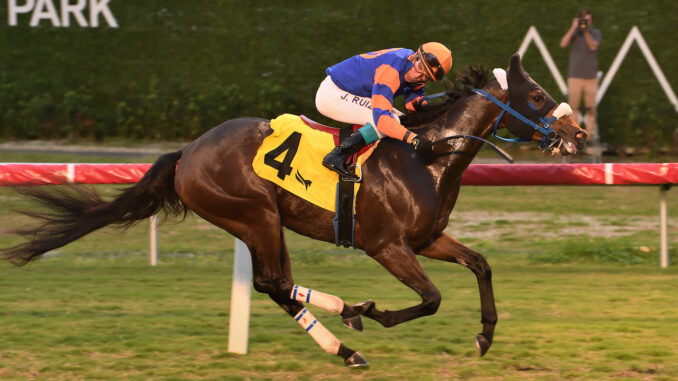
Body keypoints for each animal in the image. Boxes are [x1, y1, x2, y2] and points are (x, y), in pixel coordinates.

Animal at [0, 53, 588, 366]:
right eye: (537, 96)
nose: (577, 132)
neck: (427, 155)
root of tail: (187, 152)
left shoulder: (426, 240)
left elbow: (481, 265)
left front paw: (485, 335)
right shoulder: (386, 246)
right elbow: (432, 298)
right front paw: (376, 313)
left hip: (259, 223)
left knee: (277, 285)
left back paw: (343, 342)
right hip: (254, 215)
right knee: (273, 282)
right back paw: (348, 316)